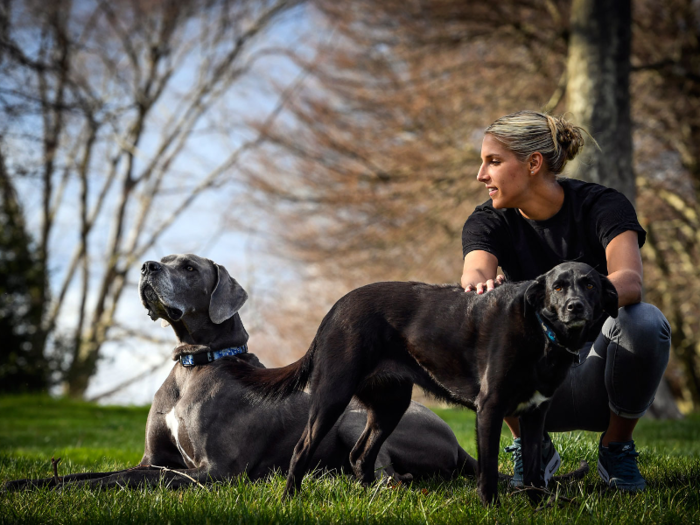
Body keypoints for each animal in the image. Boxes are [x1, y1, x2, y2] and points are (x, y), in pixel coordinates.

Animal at [4, 254, 476, 492]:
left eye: (189, 267)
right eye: (166, 259)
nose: (146, 266)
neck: (194, 365)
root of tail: (457, 442)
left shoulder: (214, 471)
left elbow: (125, 479)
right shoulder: (152, 458)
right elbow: (89, 474)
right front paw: (22, 484)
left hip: (353, 419)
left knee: (387, 473)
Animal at [232, 260, 616, 504]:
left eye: (590, 284)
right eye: (558, 286)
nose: (575, 307)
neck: (541, 332)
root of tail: (335, 308)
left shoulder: (535, 414)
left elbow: (535, 468)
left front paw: (538, 505)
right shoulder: (489, 408)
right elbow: (489, 471)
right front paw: (491, 508)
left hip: (391, 405)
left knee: (361, 454)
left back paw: (373, 496)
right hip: (333, 395)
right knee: (303, 449)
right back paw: (290, 499)